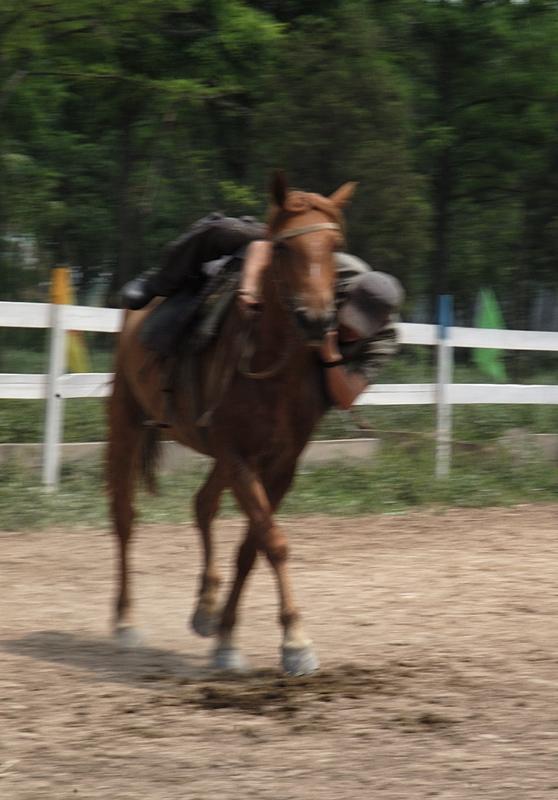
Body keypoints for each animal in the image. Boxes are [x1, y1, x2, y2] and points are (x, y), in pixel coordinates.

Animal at [107, 170, 356, 676]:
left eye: (335, 244)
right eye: (284, 248)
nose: (317, 319)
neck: (269, 367)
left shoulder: (280, 465)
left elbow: (252, 546)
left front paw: (226, 637)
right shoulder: (239, 457)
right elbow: (273, 541)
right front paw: (296, 643)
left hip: (219, 452)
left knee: (202, 505)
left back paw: (205, 608)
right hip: (128, 421)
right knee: (124, 517)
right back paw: (125, 620)